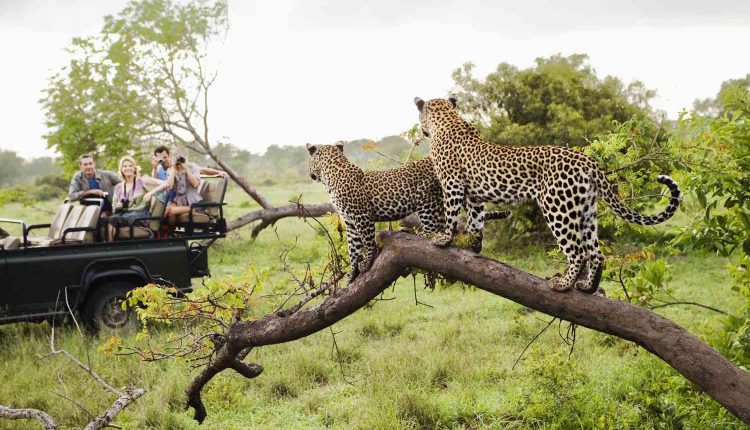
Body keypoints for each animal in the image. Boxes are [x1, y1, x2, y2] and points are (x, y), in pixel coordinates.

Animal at [306, 141, 512, 282]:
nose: (310, 175)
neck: (332, 175)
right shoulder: (349, 221)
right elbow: (353, 248)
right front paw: (351, 274)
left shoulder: (361, 216)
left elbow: (368, 242)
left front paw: (367, 262)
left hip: (427, 201)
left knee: (433, 231)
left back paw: (414, 233)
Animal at [414, 96, 684, 292]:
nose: (421, 130)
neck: (447, 119)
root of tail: (590, 162)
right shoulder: (475, 195)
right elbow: (476, 221)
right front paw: (473, 246)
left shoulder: (452, 183)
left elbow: (452, 214)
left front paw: (443, 239)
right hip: (586, 211)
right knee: (596, 253)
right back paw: (587, 286)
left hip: (558, 207)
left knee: (578, 252)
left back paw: (563, 284)